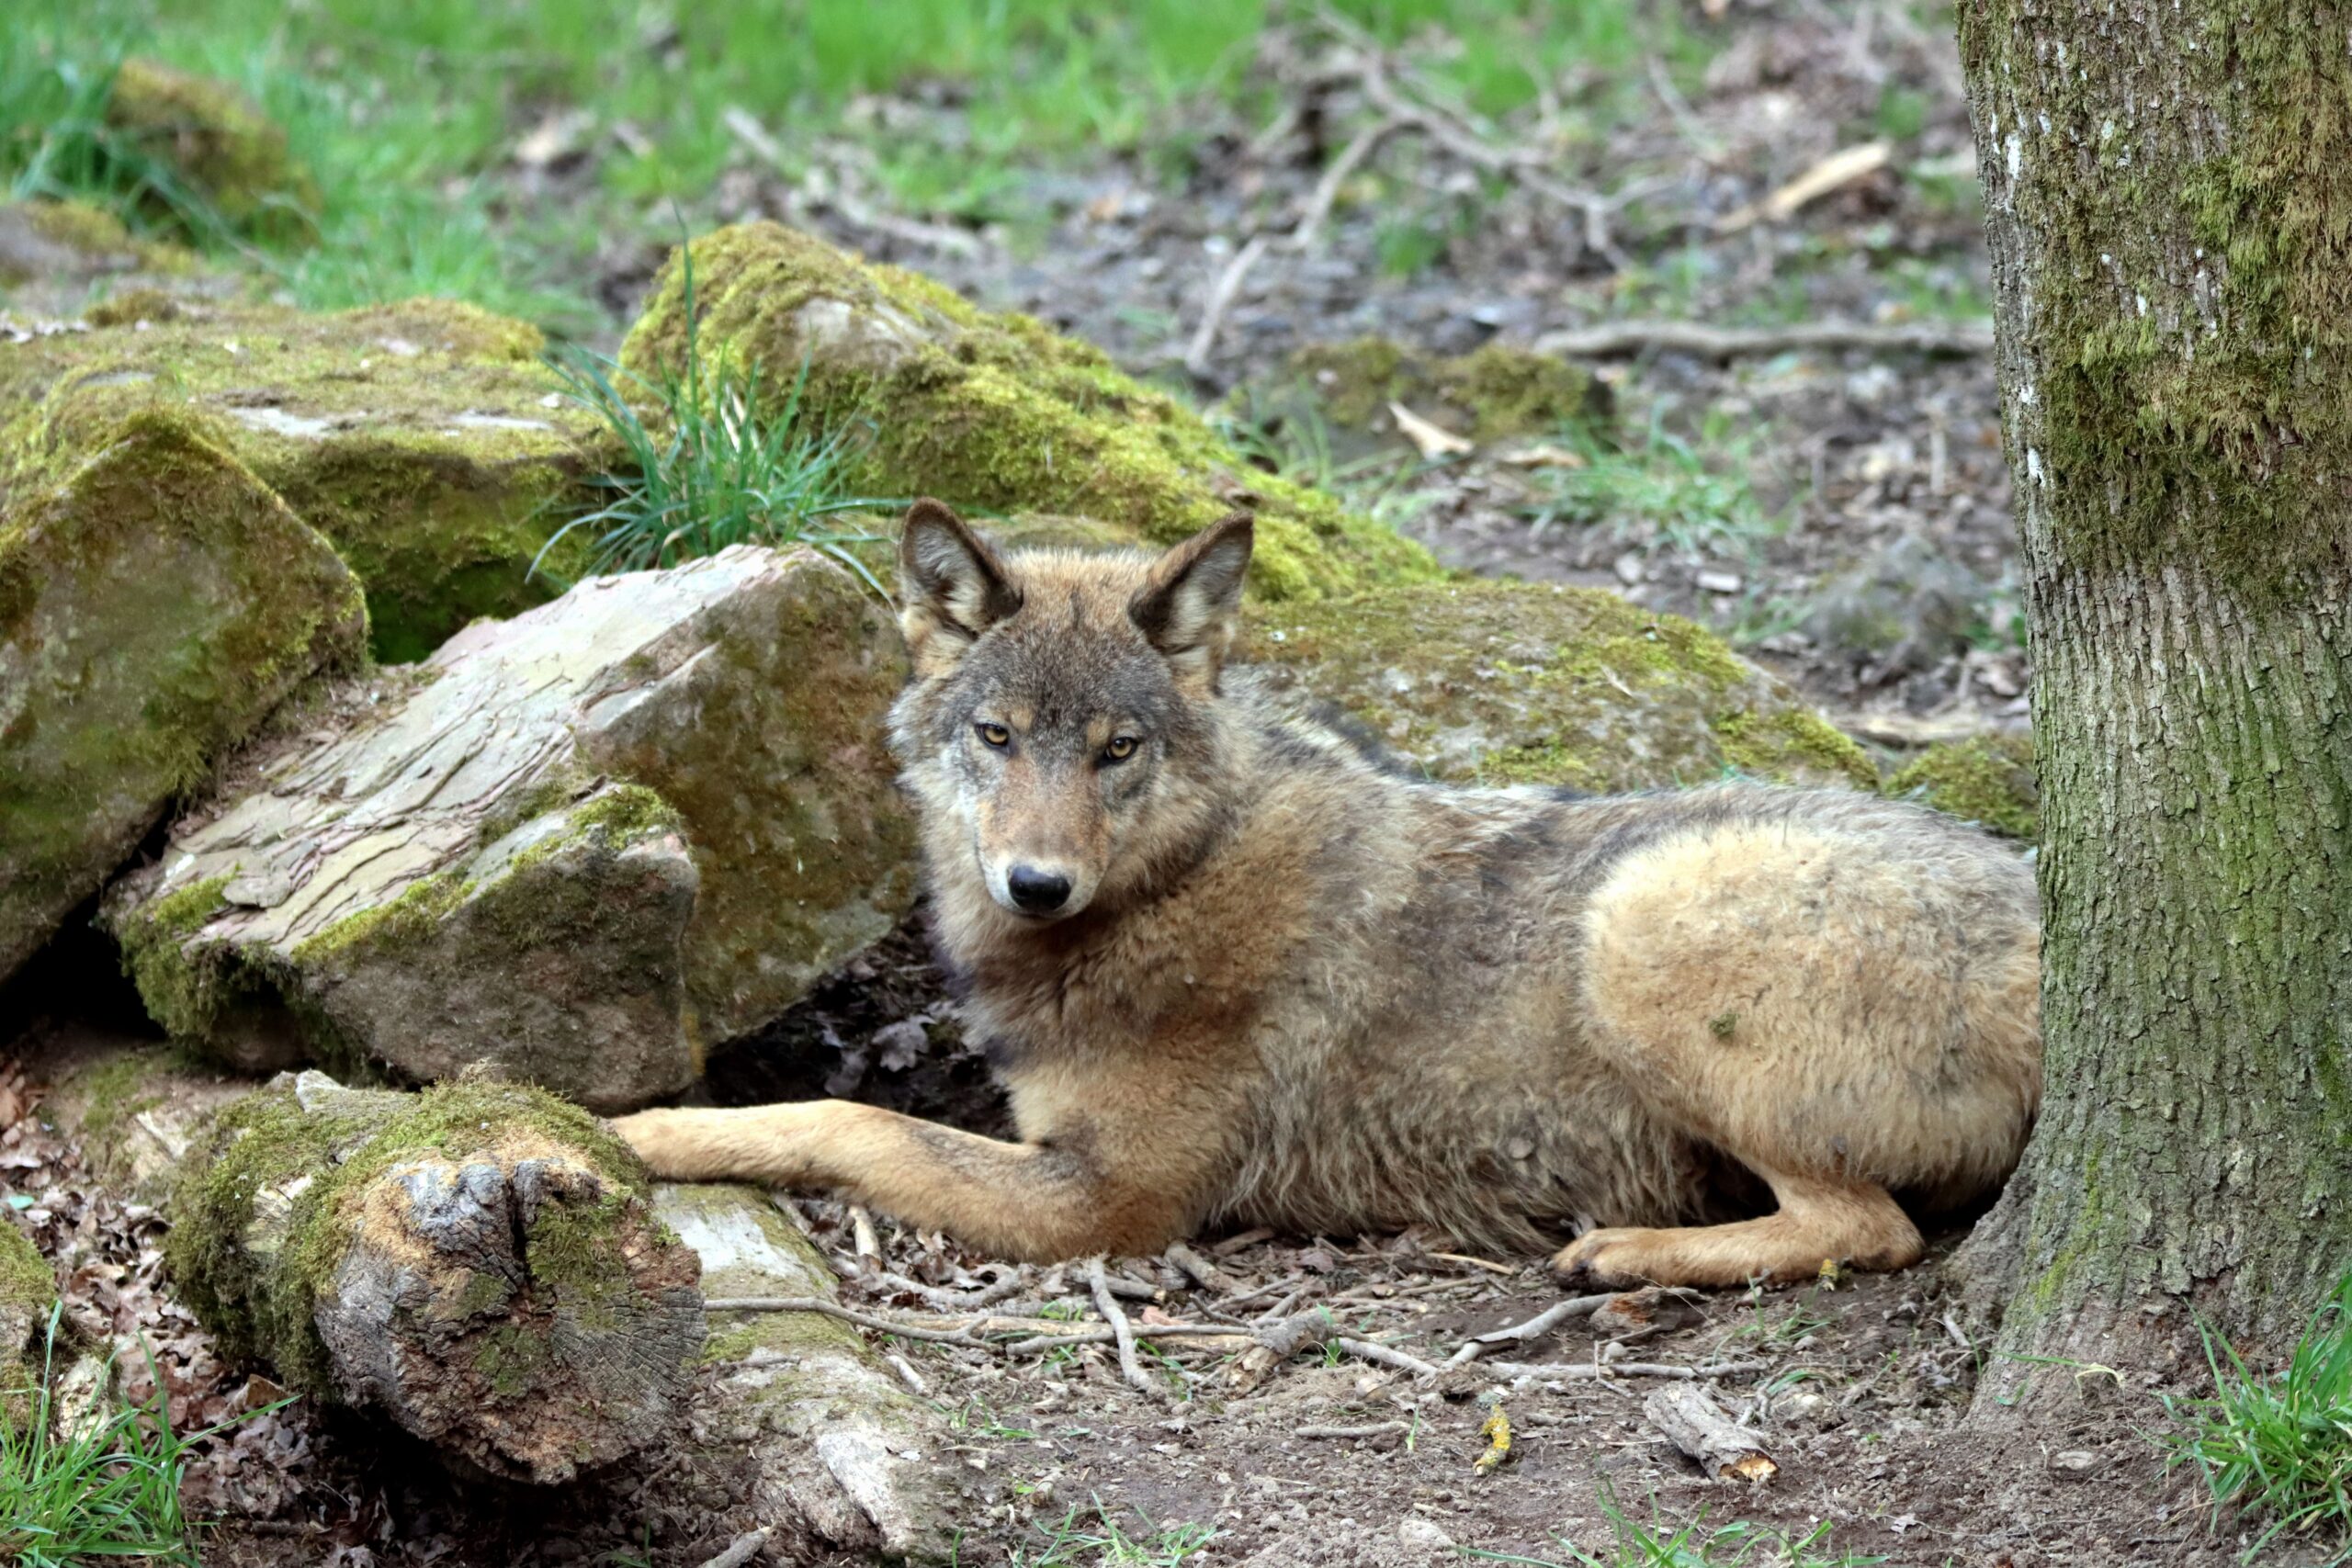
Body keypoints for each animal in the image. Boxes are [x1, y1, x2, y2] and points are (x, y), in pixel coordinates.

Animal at [613, 501, 2041, 1288]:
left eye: (1116, 750)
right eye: (998, 737)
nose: (1035, 882)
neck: (1173, 883)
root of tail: (2042, 927)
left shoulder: (1110, 1203)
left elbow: (843, 1120)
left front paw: (634, 1131)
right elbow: (856, 1110)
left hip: (1637, 920)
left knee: (1869, 1228)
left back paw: (1625, 1253)